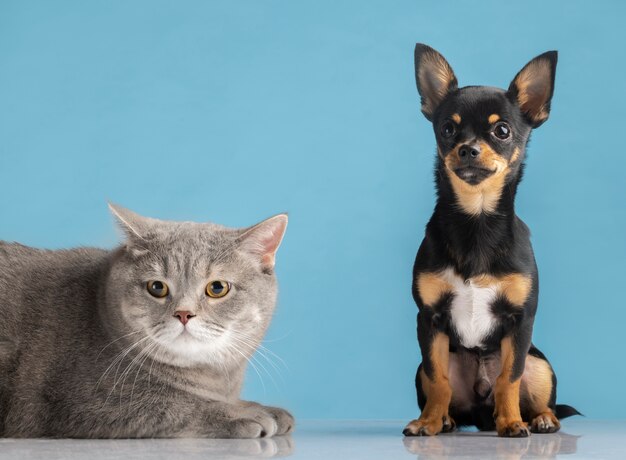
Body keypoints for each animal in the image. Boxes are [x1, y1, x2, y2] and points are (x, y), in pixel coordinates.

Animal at [0, 205, 292, 438]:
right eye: (157, 287)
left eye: (217, 288)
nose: (184, 313)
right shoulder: (88, 403)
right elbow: (178, 405)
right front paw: (243, 413)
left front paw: (262, 408)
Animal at [402, 45, 576, 436]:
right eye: (447, 129)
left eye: (502, 130)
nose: (468, 148)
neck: (476, 220)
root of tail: (480, 415)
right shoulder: (429, 321)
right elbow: (438, 380)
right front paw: (428, 423)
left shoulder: (520, 321)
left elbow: (508, 379)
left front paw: (511, 422)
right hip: (424, 366)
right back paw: (446, 419)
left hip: (539, 362)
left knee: (534, 393)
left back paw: (540, 419)